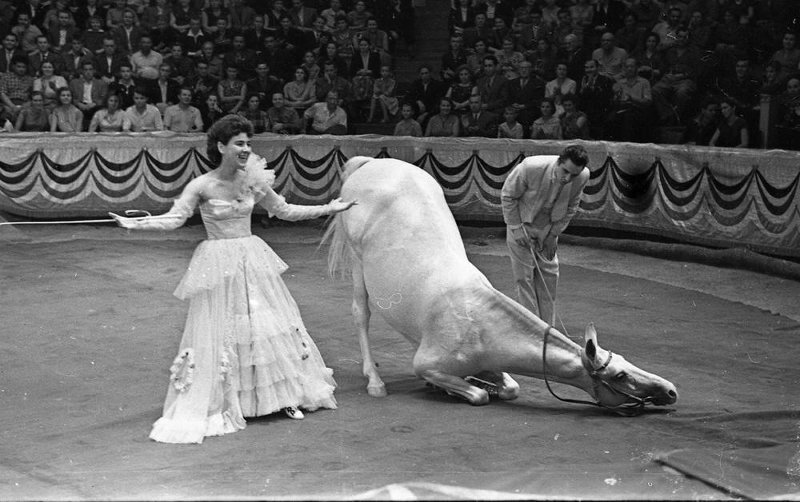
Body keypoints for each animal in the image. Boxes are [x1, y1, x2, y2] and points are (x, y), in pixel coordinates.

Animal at [322, 156, 680, 412]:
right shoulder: (428, 364)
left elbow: (510, 387)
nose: (671, 390)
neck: (479, 323)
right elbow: (476, 395)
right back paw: (374, 380)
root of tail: (372, 163)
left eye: (625, 361)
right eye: (620, 375)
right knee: (361, 314)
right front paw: (460, 389)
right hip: (357, 263)